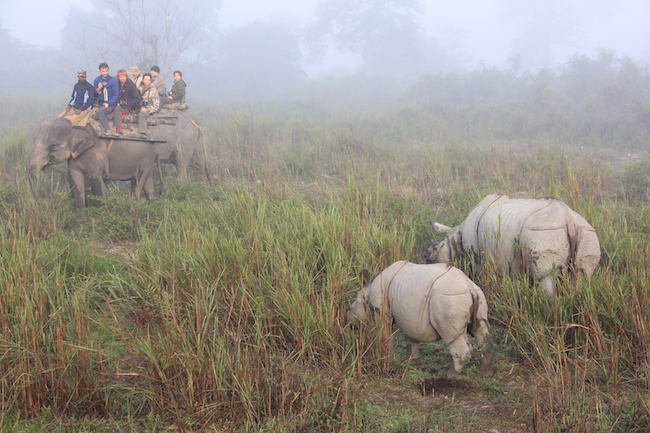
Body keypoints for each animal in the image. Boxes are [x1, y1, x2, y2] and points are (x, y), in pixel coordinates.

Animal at [29, 116, 158, 208]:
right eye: (34, 139)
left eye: (53, 145)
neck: (75, 122)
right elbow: (75, 178)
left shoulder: (96, 151)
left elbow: (96, 179)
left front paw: (101, 216)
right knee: (148, 185)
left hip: (148, 156)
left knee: (137, 183)